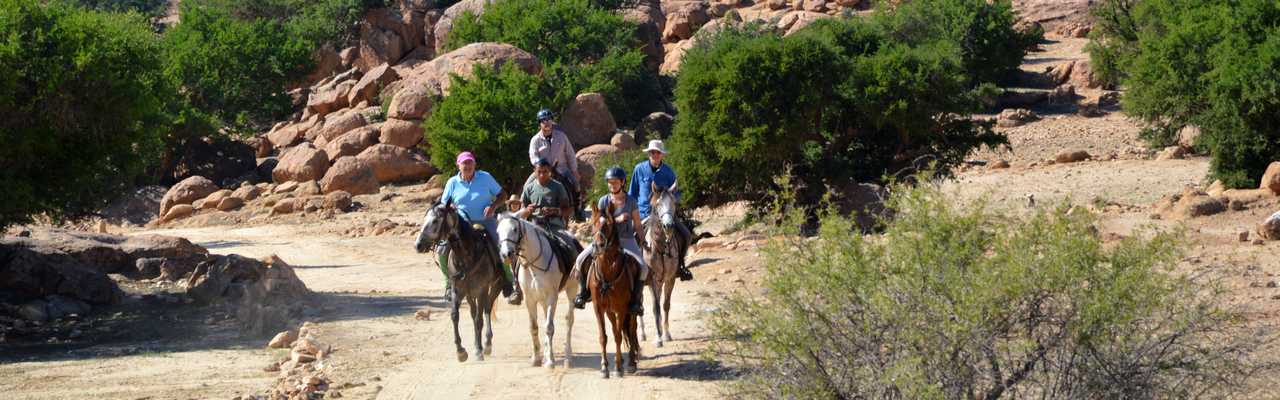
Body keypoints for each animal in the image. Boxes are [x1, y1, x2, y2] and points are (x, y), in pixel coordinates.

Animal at [499, 212, 581, 369]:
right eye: (498, 231)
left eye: (514, 229)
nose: (506, 254)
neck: (534, 264)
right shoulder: (530, 299)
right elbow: (534, 327)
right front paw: (537, 358)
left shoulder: (551, 297)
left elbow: (549, 327)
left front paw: (550, 361)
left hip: (571, 291)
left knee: (570, 320)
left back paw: (568, 357)